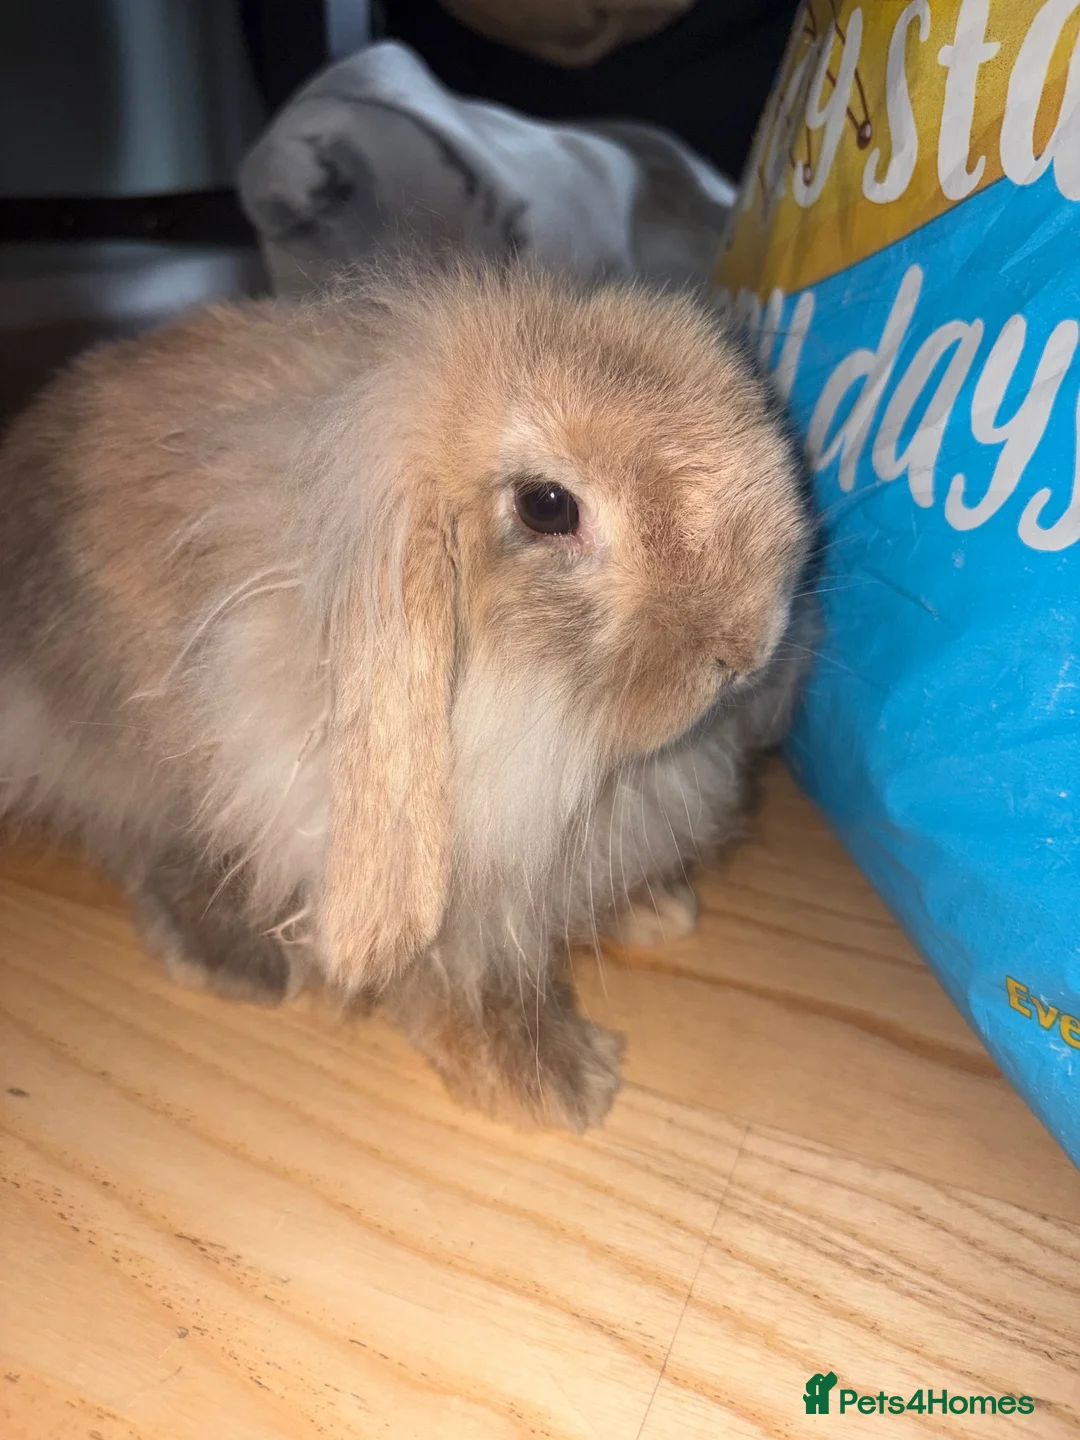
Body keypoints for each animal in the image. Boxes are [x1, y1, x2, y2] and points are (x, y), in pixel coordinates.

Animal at [0, 257, 814, 1132]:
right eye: (548, 506)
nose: (748, 646)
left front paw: (656, 909)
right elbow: (455, 975)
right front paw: (554, 1084)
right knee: (139, 842)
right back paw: (242, 962)